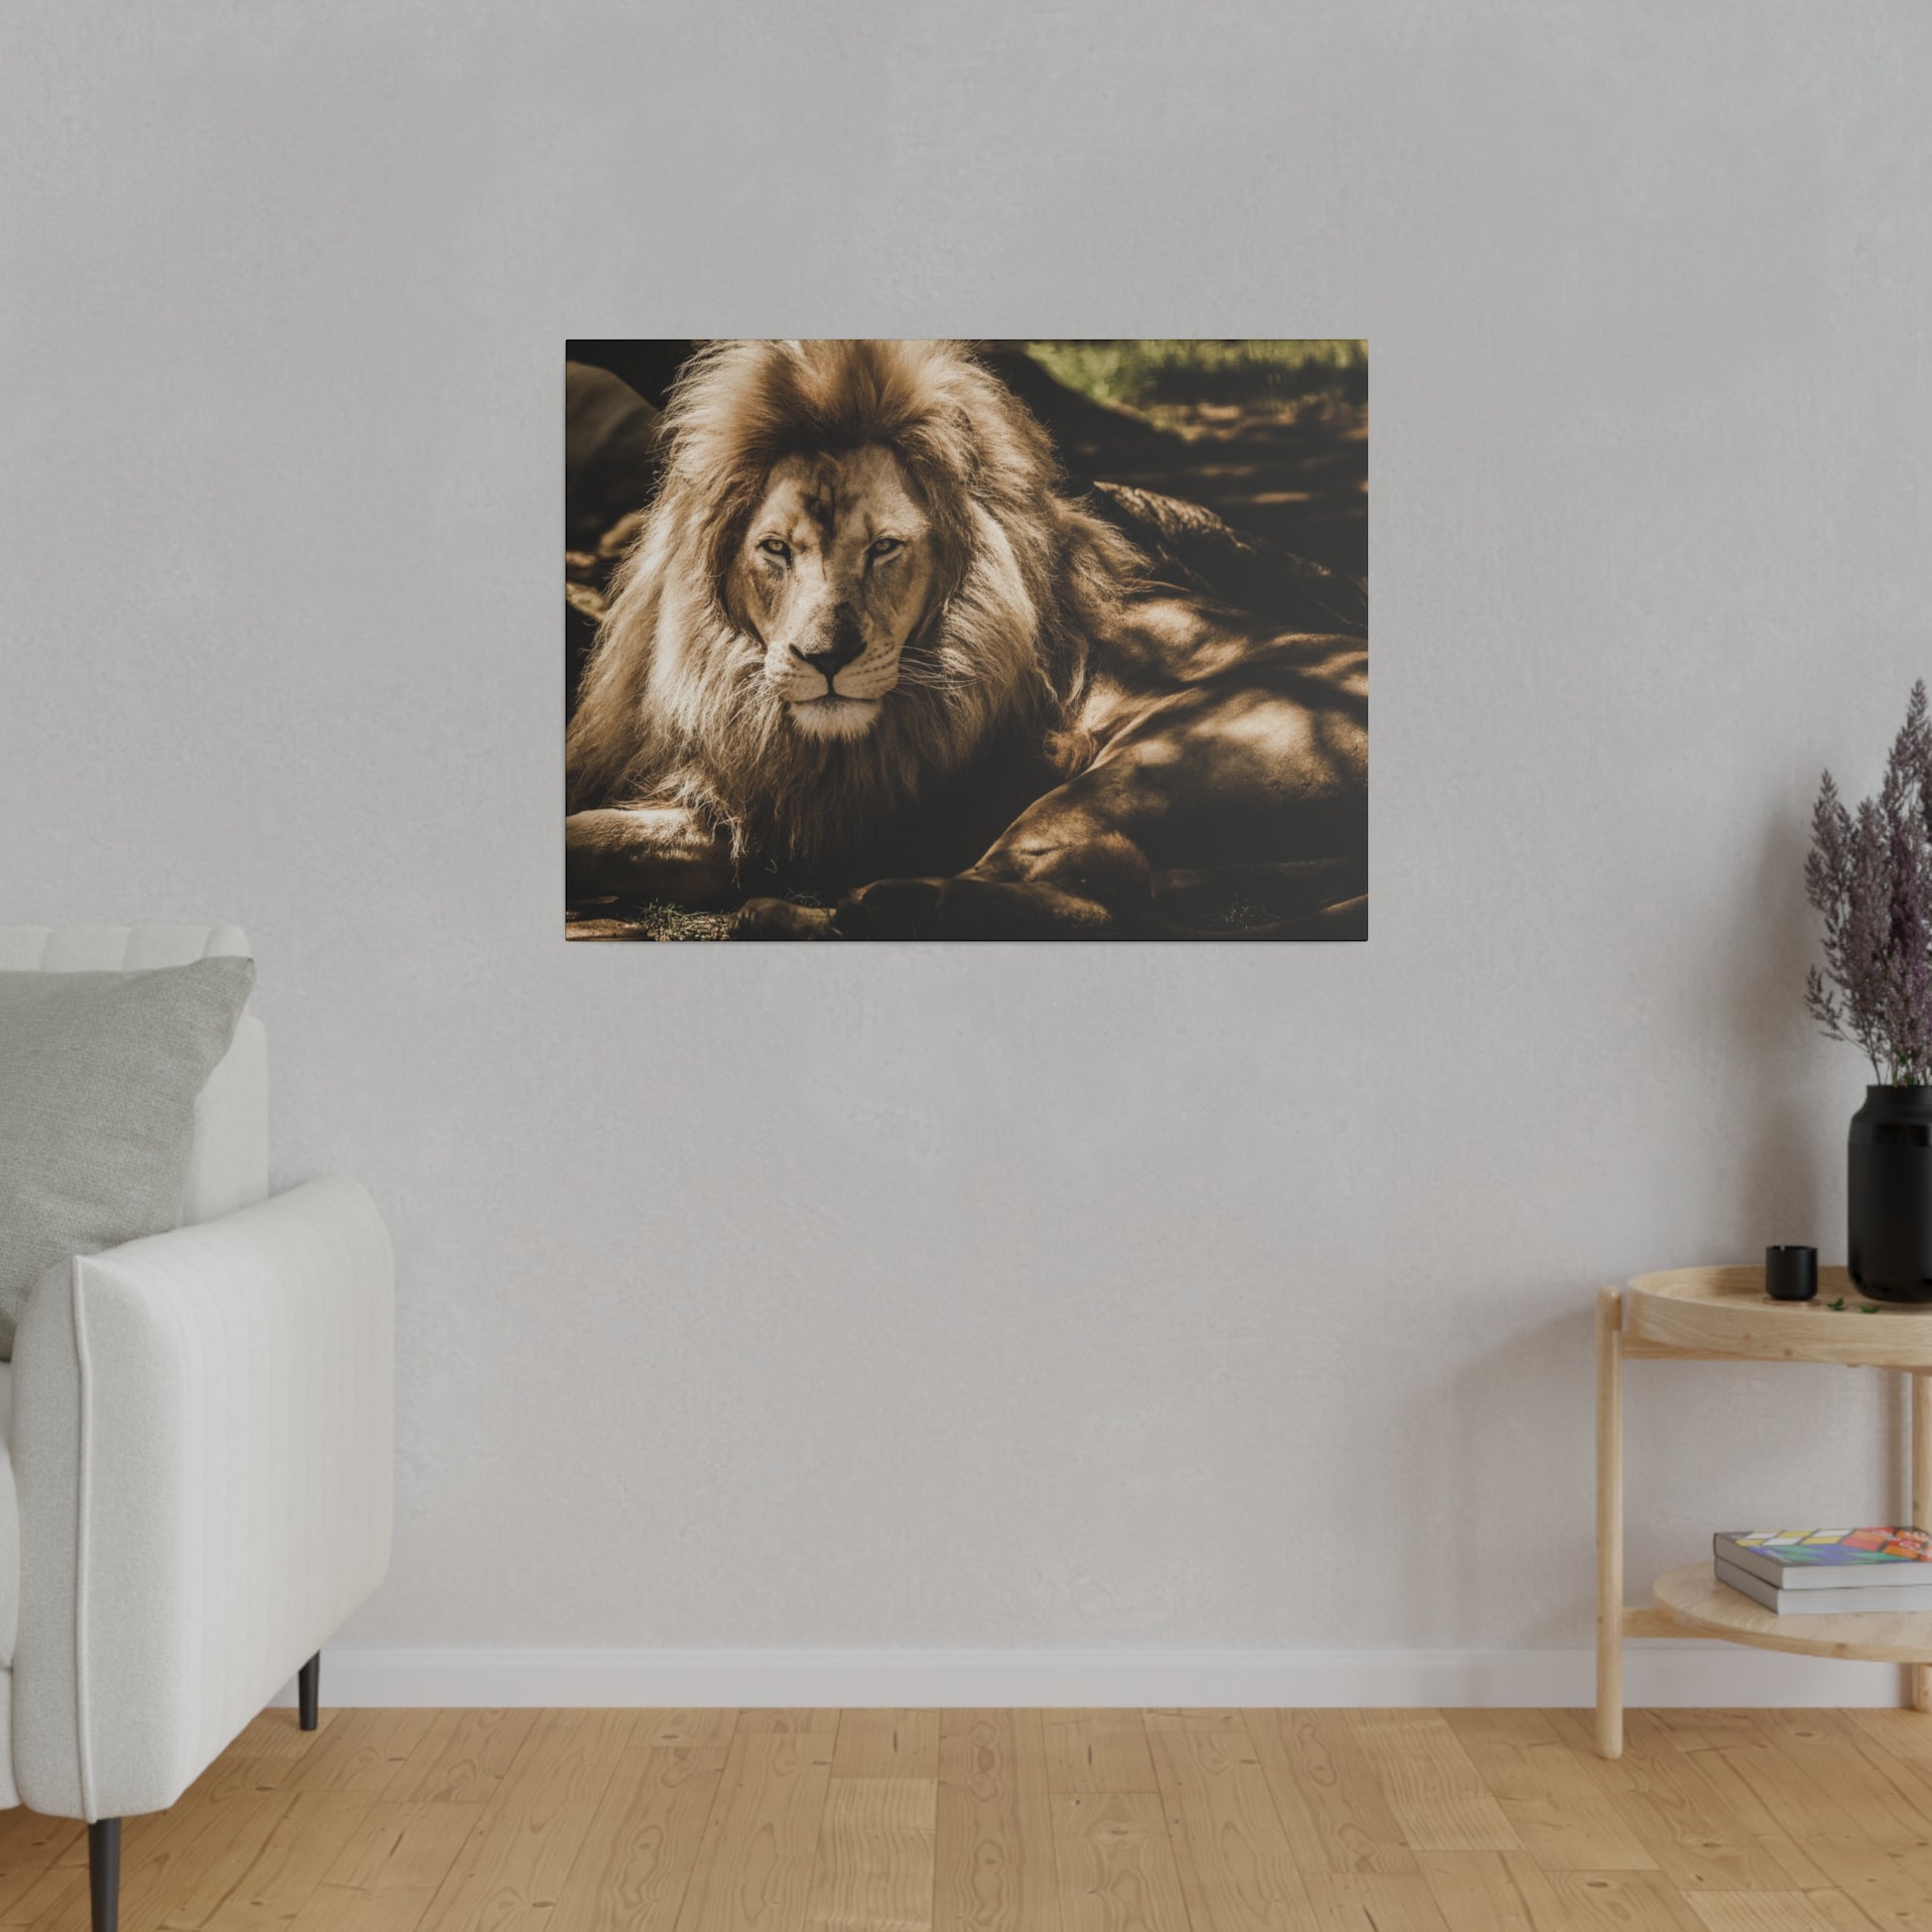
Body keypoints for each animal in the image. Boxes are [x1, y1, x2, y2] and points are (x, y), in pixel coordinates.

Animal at [564, 342, 1367, 942]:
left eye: (885, 548)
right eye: (776, 550)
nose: (826, 660)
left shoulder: (825, 820)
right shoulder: (752, 803)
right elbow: (595, 831)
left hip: (1143, 764)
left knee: (1103, 898)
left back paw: (851, 908)